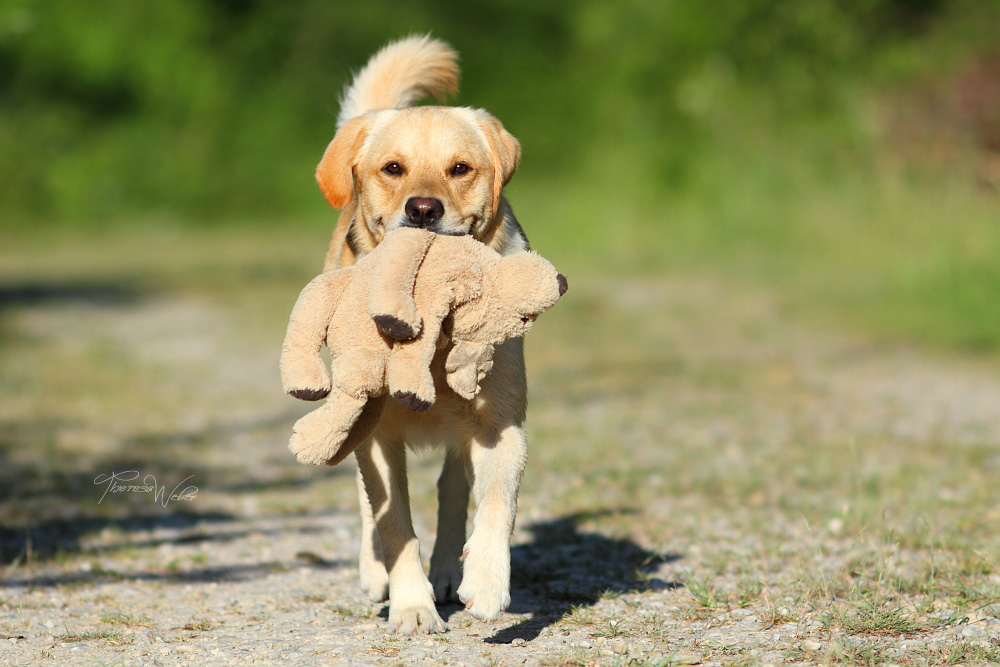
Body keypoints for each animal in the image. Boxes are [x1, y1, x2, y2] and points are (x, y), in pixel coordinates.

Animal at [318, 35, 540, 632]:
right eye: (393, 168)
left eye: (460, 168)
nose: (423, 208)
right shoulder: (375, 438)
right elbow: (394, 522)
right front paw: (412, 606)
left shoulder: (499, 420)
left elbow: (495, 503)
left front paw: (485, 583)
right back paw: (377, 575)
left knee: (452, 489)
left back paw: (446, 569)